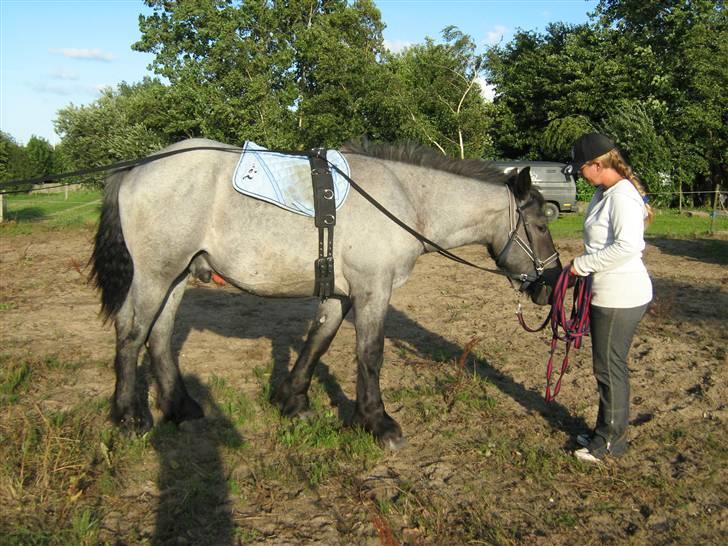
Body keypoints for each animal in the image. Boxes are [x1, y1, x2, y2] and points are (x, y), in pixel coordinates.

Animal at [89, 138, 556, 448]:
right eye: (540, 224)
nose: (550, 288)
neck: (405, 199)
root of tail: (138, 166)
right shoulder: (372, 289)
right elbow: (370, 354)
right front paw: (377, 422)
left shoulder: (341, 293)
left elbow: (319, 341)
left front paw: (292, 401)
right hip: (155, 275)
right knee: (131, 333)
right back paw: (129, 417)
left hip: (178, 275)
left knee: (160, 336)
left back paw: (181, 409)